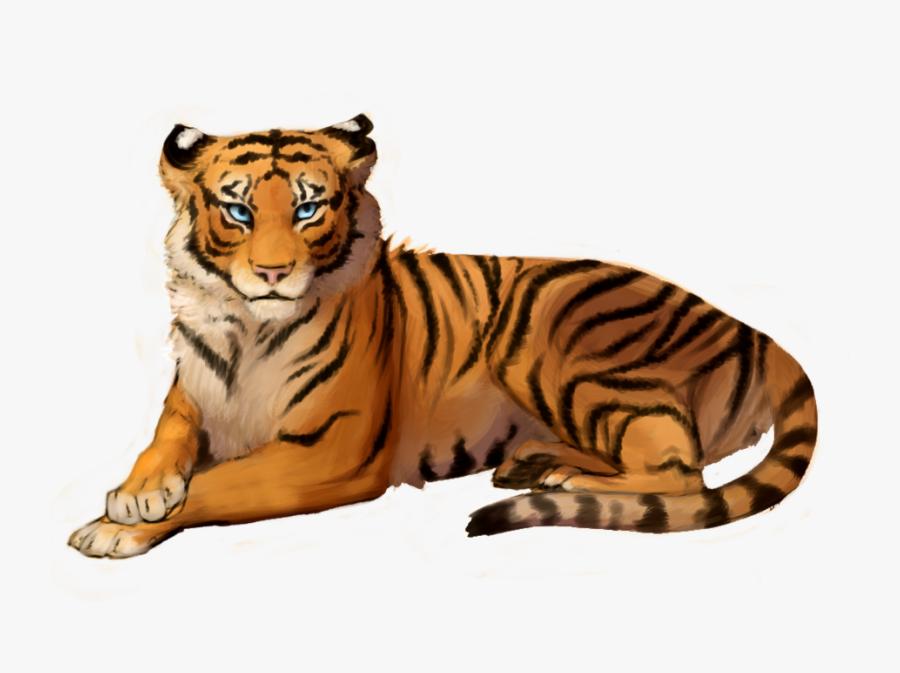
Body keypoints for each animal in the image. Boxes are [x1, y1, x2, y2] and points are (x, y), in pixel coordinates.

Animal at [68, 114, 818, 559]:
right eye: (239, 209)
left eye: (309, 208)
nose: (275, 273)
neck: (244, 326)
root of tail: (751, 329)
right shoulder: (189, 400)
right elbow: (163, 445)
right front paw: (137, 491)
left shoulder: (332, 449)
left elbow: (217, 484)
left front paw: (113, 525)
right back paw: (535, 461)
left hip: (549, 342)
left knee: (680, 470)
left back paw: (562, 473)